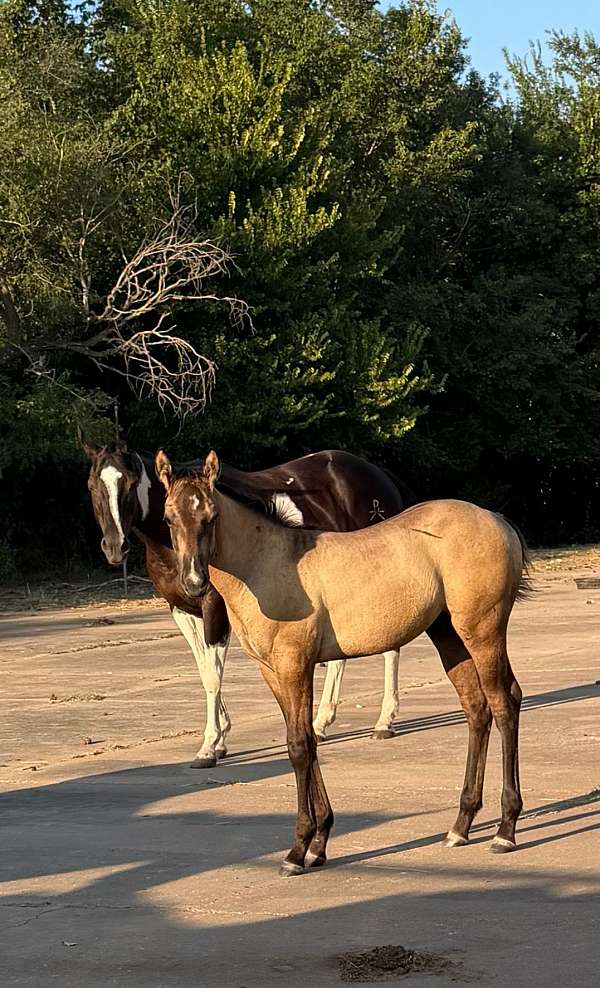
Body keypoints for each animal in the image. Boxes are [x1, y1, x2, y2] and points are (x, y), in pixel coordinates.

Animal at [82, 438, 414, 767]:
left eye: (130, 482)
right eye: (91, 484)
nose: (114, 547)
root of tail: (378, 474)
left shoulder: (214, 608)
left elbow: (213, 675)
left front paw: (209, 746)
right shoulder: (181, 609)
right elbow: (205, 671)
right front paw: (220, 739)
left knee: (391, 648)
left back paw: (384, 722)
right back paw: (322, 723)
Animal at [158, 448, 529, 874]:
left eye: (212, 515)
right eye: (168, 518)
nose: (194, 583)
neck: (267, 564)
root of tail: (496, 518)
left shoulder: (294, 664)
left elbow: (299, 746)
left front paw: (298, 850)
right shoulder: (272, 672)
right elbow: (307, 741)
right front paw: (320, 843)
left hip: (482, 631)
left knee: (504, 704)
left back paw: (505, 830)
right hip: (448, 635)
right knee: (477, 709)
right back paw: (461, 826)